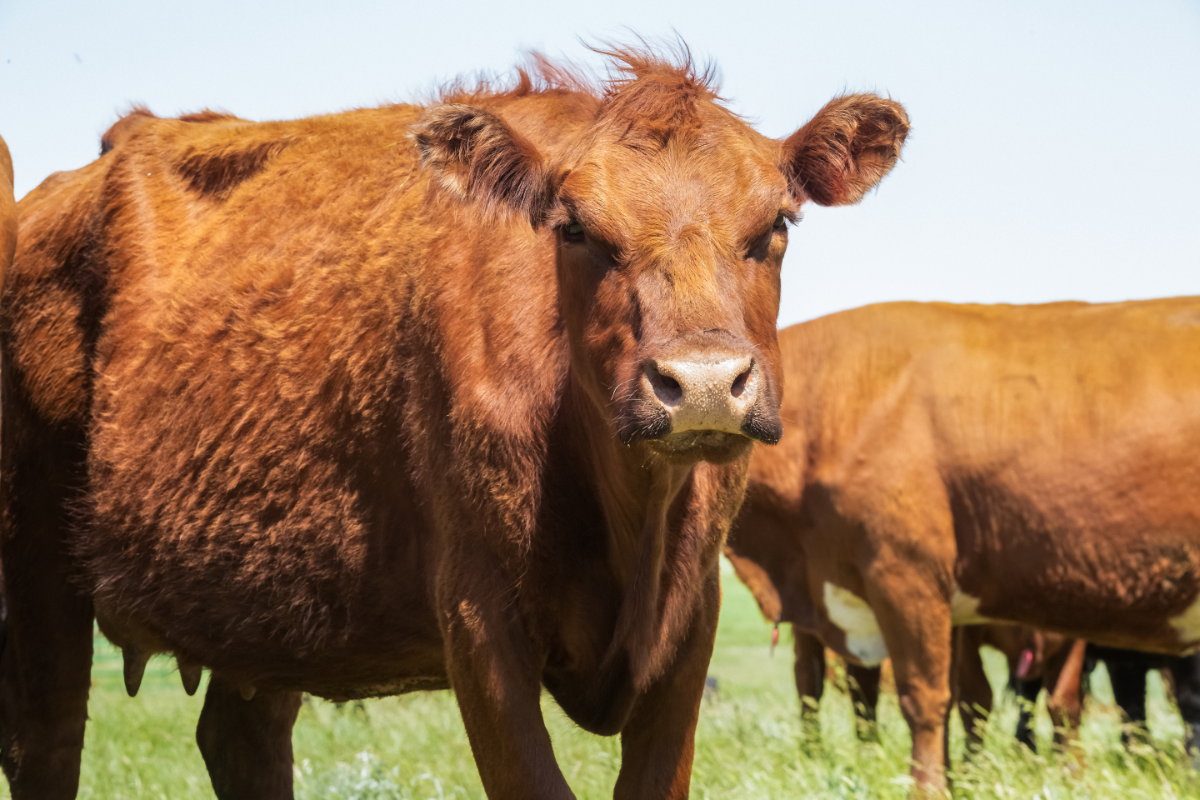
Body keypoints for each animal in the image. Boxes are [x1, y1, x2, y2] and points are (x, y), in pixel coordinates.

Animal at [0, 49, 909, 799]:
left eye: (776, 226)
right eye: (574, 228)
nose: (706, 384)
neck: (628, 515)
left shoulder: (690, 624)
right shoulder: (479, 621)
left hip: (257, 599)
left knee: (241, 739)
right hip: (38, 564)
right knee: (47, 742)